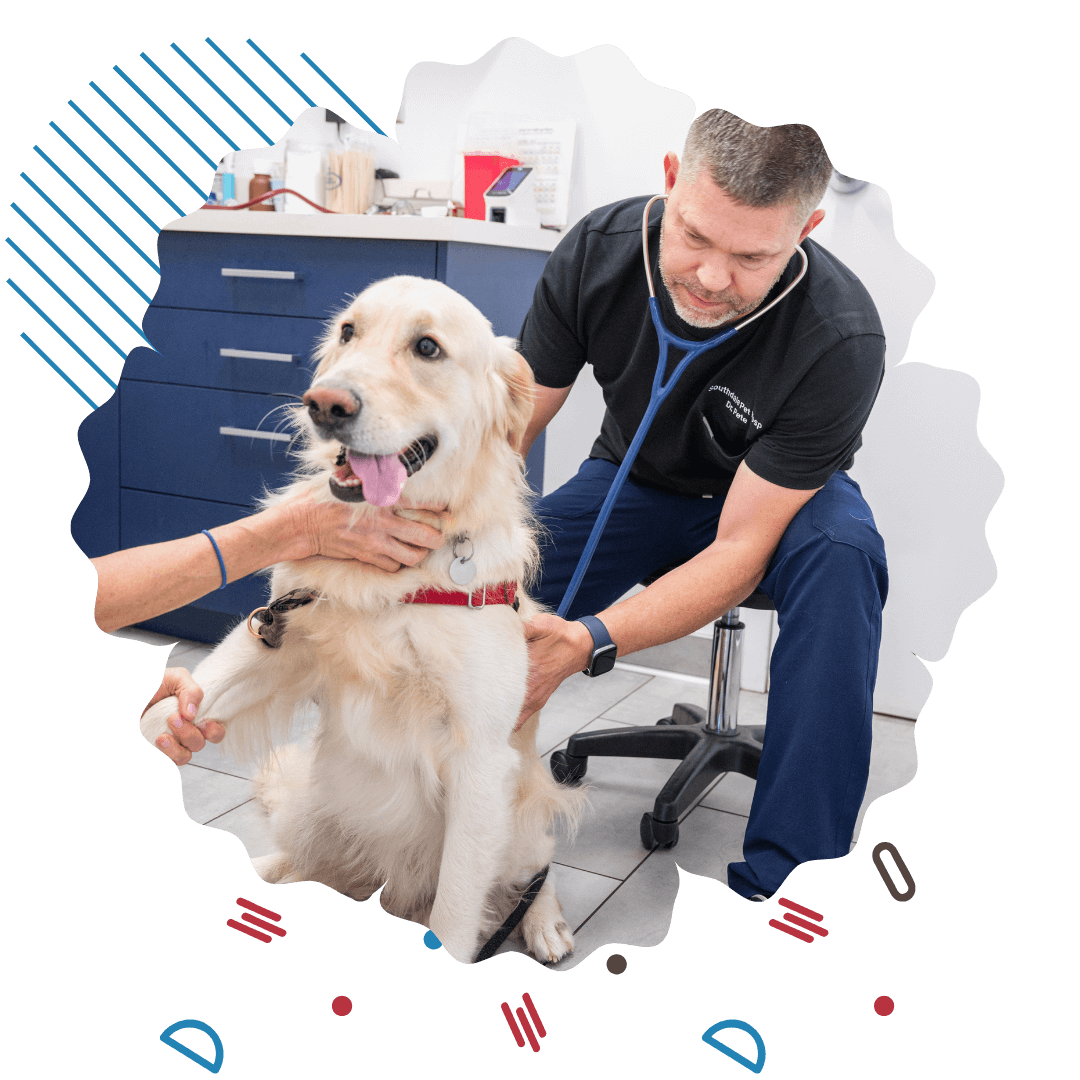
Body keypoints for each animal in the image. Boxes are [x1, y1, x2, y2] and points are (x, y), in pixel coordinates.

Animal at [139, 276, 591, 963]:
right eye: (348, 332)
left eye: (428, 347)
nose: (325, 404)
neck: (396, 584)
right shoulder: (279, 636)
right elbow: (177, 702)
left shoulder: (481, 759)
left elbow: (456, 915)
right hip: (315, 809)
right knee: (299, 860)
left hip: (520, 815)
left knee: (537, 869)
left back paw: (544, 924)